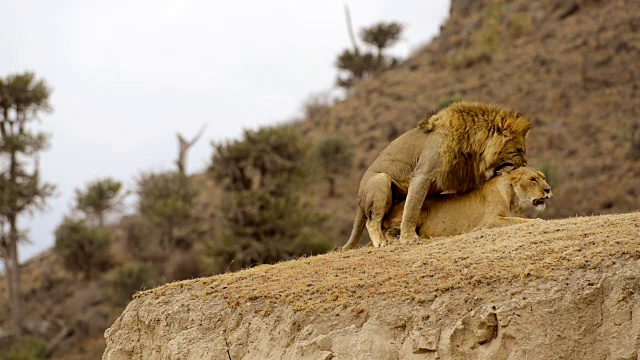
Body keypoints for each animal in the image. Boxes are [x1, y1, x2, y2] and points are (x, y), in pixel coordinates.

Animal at [344, 102, 528, 250]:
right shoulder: (422, 175)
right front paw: (409, 239)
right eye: (518, 150)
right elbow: (412, 208)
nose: (526, 164)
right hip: (381, 179)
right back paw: (381, 242)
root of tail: (359, 198)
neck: (473, 148)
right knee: (372, 221)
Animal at [382, 167, 552, 240]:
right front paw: (537, 220)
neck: (514, 201)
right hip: (421, 208)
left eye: (544, 177)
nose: (548, 189)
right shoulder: (490, 221)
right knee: (389, 231)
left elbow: (519, 218)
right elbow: (517, 220)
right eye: (532, 179)